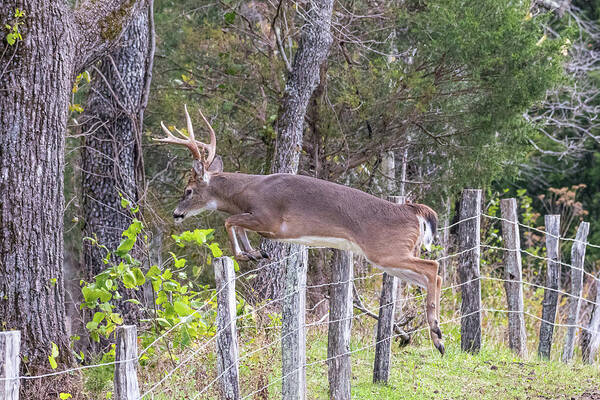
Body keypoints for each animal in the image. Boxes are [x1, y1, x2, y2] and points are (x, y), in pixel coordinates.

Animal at [156, 105, 446, 354]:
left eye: (188, 190)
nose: (177, 213)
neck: (248, 192)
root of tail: (413, 210)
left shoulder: (271, 221)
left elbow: (229, 221)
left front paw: (243, 254)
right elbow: (235, 224)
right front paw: (254, 253)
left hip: (386, 251)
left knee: (433, 268)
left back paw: (438, 335)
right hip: (390, 257)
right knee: (431, 277)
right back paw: (436, 336)